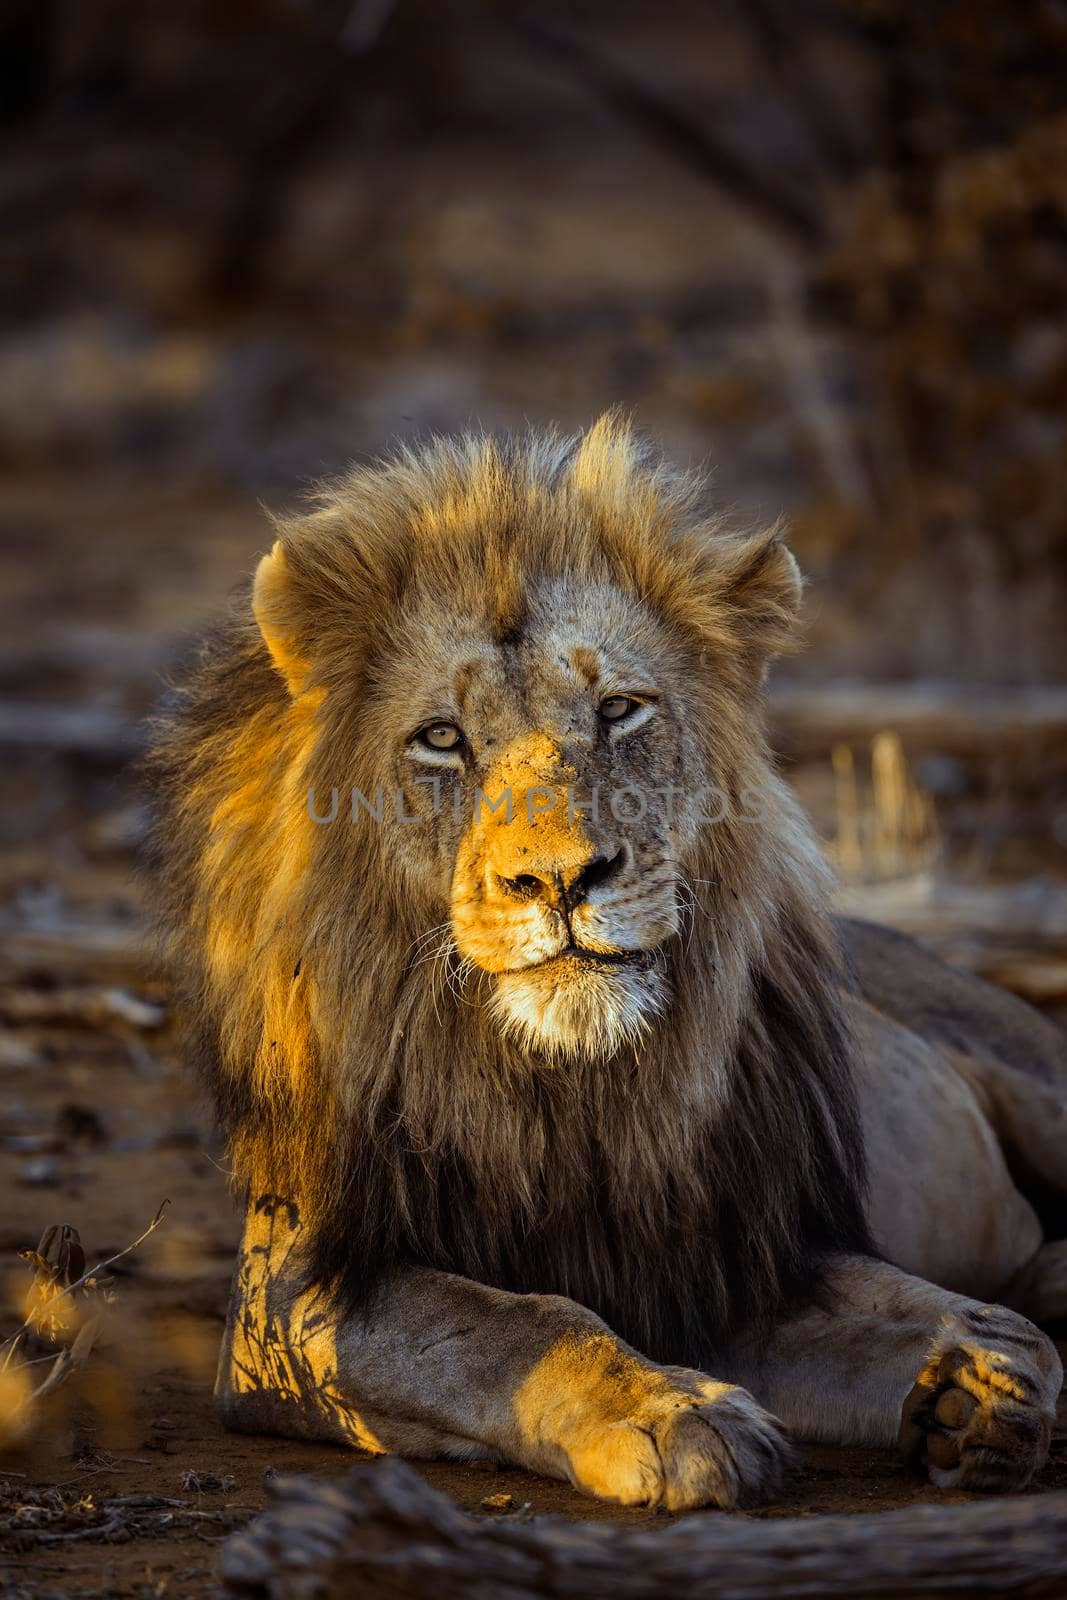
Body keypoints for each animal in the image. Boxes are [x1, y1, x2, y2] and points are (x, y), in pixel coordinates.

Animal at [143, 416, 1067, 1510]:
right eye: (442, 739)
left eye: (620, 711)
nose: (559, 878)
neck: (575, 1091)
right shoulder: (293, 1300)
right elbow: (515, 1324)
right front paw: (675, 1414)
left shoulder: (740, 1251)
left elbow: (927, 1310)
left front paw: (979, 1372)